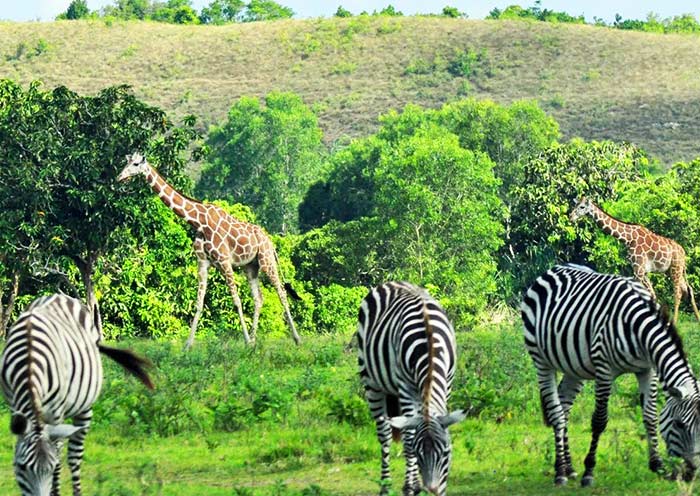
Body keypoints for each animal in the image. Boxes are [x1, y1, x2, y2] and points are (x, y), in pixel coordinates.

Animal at [0, 294, 154, 496]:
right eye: (22, 467)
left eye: (49, 469)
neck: (29, 361)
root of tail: (58, 295)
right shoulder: (14, 406)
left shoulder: (56, 414)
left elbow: (58, 461)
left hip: (84, 408)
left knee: (74, 458)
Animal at [117, 152, 300, 348]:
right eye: (126, 162)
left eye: (136, 164)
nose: (120, 177)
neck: (198, 221)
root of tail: (270, 242)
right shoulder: (203, 262)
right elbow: (199, 303)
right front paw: (187, 345)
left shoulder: (224, 261)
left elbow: (236, 301)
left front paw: (243, 340)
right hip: (251, 267)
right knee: (259, 298)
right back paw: (253, 340)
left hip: (266, 261)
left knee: (281, 293)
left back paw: (296, 339)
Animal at [358, 280, 468, 494]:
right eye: (418, 454)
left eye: (446, 453)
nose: (434, 490)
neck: (430, 344)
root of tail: (393, 282)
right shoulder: (406, 388)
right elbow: (409, 439)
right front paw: (411, 486)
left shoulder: (448, 383)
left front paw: (416, 484)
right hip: (372, 384)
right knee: (384, 434)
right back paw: (385, 485)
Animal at [524, 266, 700, 486]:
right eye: (679, 424)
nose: (691, 474)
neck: (637, 327)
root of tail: (552, 270)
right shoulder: (604, 370)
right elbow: (599, 421)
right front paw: (589, 471)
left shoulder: (647, 370)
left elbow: (650, 417)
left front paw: (658, 466)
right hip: (541, 360)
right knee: (556, 412)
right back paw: (560, 472)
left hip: (573, 369)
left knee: (564, 409)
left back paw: (569, 468)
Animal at [568, 198, 700, 326]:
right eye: (575, 205)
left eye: (582, 207)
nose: (570, 217)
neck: (628, 238)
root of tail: (683, 252)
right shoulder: (642, 270)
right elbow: (652, 295)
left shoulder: (638, 269)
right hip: (673, 270)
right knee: (688, 289)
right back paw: (698, 319)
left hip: (675, 268)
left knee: (678, 293)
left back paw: (675, 321)